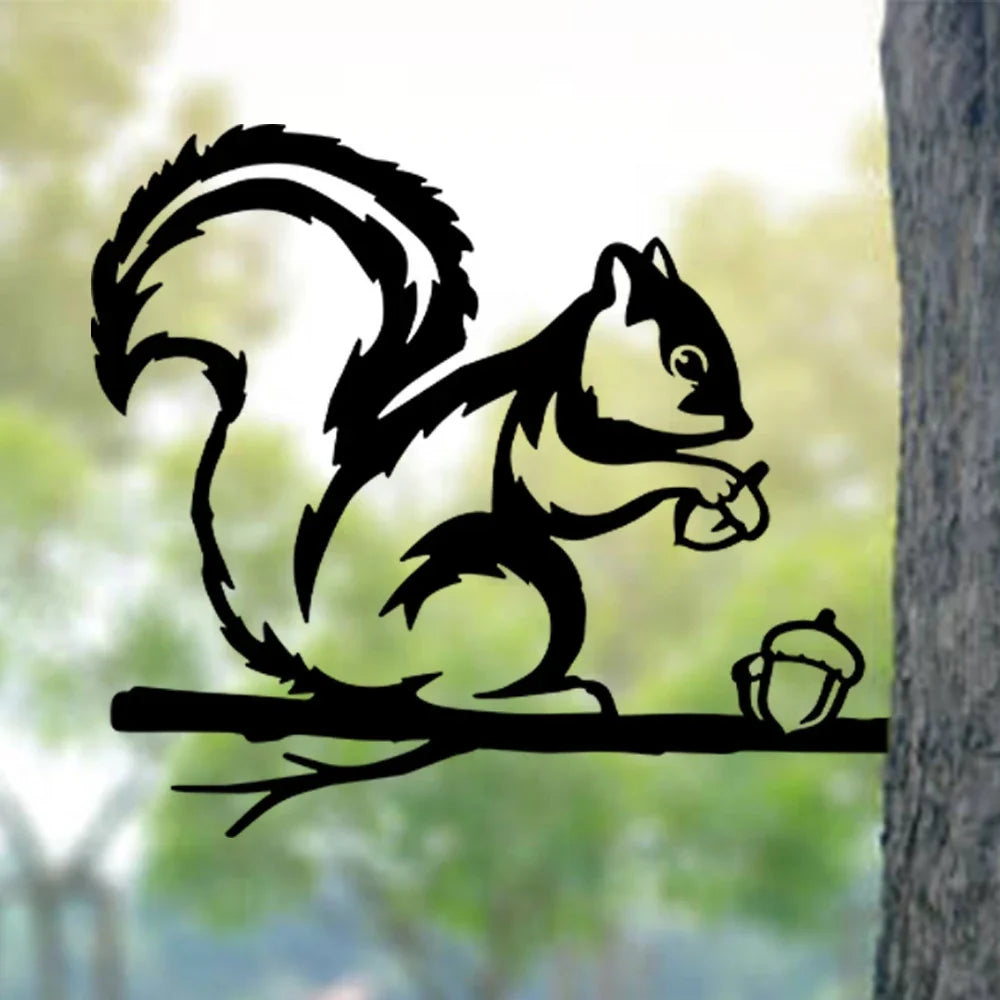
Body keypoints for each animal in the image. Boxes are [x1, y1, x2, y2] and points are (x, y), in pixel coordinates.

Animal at [91, 125, 768, 719]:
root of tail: (323, 650)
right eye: (686, 360)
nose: (741, 423)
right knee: (437, 686)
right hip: (488, 582)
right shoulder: (540, 425)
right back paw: (543, 698)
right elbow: (576, 493)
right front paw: (708, 476)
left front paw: (726, 494)